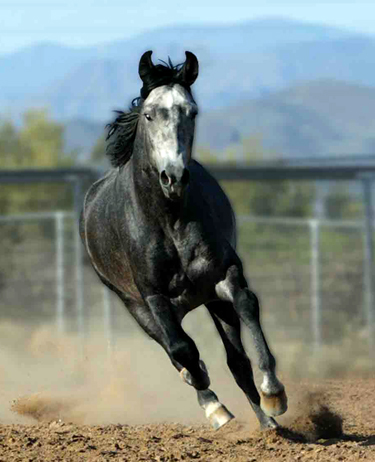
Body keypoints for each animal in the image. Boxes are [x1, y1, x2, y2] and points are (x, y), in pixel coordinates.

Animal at [81, 49, 288, 430]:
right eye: (149, 114)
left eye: (191, 112)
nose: (174, 177)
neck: (170, 222)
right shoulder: (153, 296)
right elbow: (181, 349)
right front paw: (213, 403)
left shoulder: (224, 274)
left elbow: (247, 305)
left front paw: (274, 395)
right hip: (136, 306)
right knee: (175, 348)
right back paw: (212, 402)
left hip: (211, 300)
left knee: (236, 360)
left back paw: (267, 422)